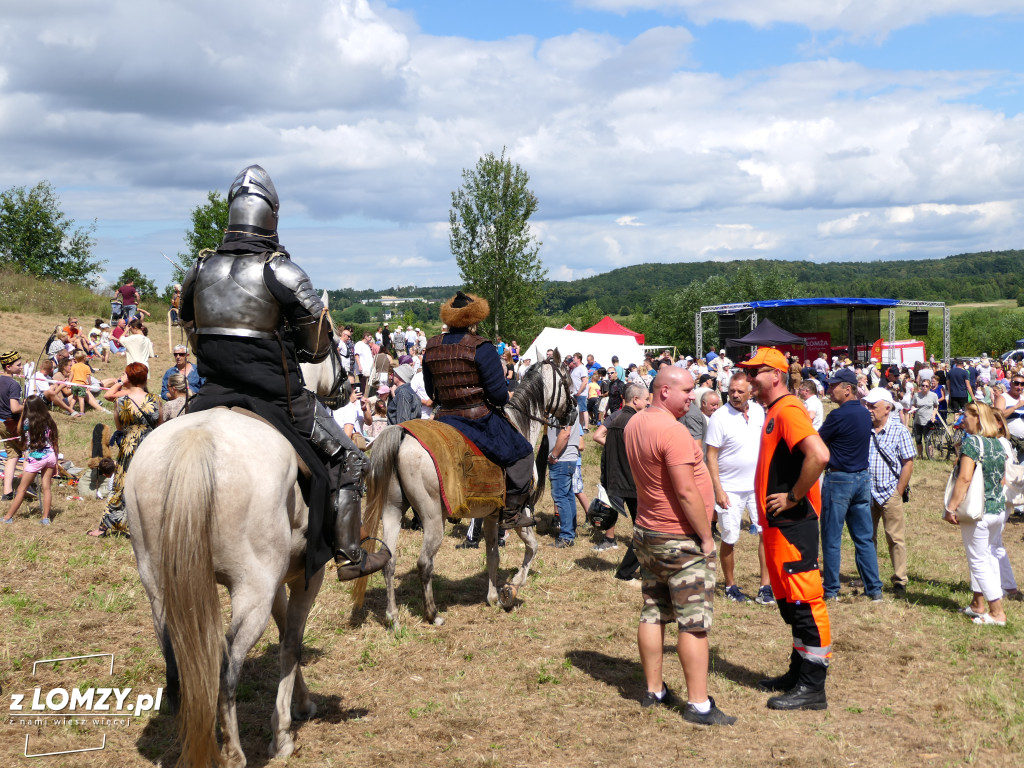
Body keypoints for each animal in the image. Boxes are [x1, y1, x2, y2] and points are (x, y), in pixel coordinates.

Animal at [124, 331, 360, 768]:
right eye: (336, 345)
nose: (347, 386)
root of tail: (197, 441)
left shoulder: (280, 578)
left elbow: (286, 635)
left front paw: (300, 704)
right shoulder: (305, 575)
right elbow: (291, 642)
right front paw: (283, 732)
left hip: (161, 586)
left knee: (176, 655)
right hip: (252, 590)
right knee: (227, 666)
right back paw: (233, 751)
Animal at [362, 356, 577, 630]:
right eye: (567, 380)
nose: (574, 412)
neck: (519, 423)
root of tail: (403, 436)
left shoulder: (491, 515)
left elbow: (493, 555)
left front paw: (493, 596)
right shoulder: (522, 513)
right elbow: (532, 547)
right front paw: (511, 589)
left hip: (392, 511)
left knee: (389, 561)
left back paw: (393, 617)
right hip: (433, 519)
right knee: (424, 563)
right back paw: (432, 614)